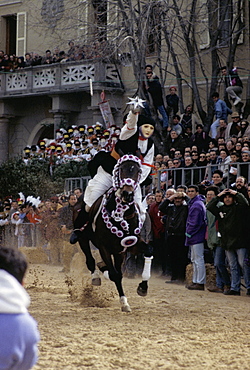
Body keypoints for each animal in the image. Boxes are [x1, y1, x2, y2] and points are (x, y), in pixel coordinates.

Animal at [73, 154, 153, 312]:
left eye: (138, 172)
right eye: (121, 170)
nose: (128, 194)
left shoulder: (130, 243)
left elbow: (148, 251)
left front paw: (143, 287)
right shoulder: (104, 247)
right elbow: (115, 275)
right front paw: (124, 303)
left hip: (119, 252)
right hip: (83, 239)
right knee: (90, 260)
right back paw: (96, 276)